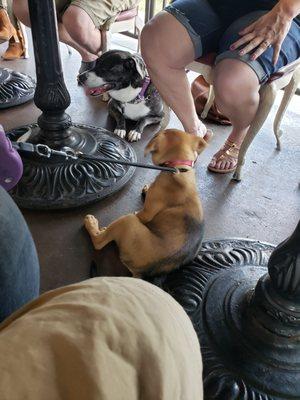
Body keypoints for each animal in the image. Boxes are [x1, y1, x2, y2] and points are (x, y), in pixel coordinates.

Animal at [84, 129, 211, 278]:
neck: (179, 168)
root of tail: (142, 272)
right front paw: (147, 188)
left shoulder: (146, 213)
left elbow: (141, 214)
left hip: (128, 221)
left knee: (99, 242)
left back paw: (92, 224)